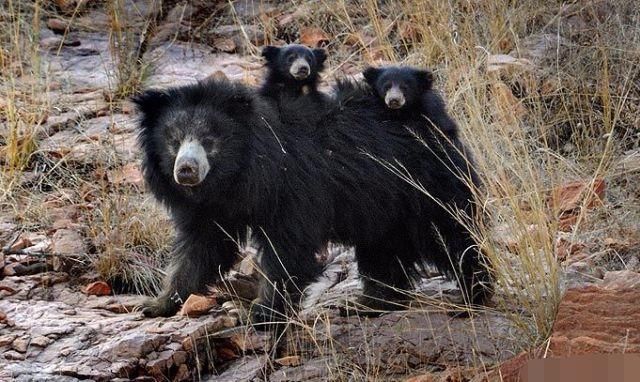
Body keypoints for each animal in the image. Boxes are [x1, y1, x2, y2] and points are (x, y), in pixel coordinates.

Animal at [135, 77, 492, 326]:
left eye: (210, 140)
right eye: (173, 140)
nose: (186, 171)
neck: (238, 177)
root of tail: (437, 116)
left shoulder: (292, 187)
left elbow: (287, 248)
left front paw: (260, 312)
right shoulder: (211, 208)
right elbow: (202, 247)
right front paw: (155, 304)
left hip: (424, 184)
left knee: (451, 233)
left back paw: (473, 294)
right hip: (382, 206)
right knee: (382, 251)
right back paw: (368, 303)